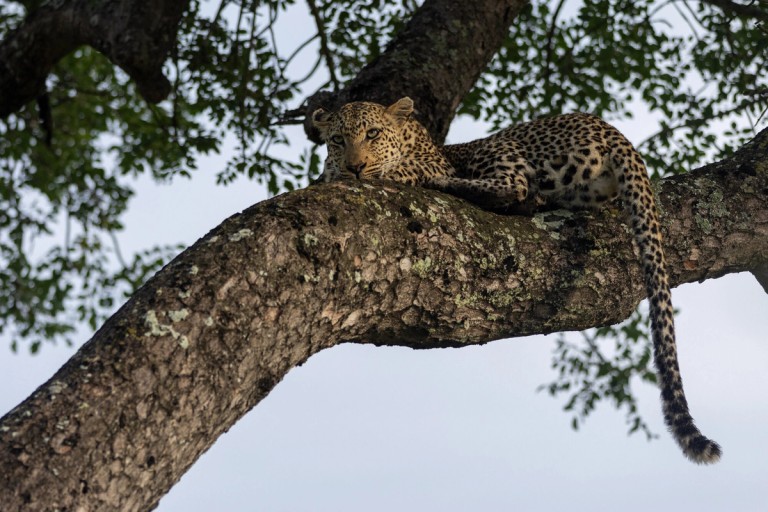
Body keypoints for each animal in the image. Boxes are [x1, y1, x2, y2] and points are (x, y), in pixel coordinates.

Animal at [312, 96, 721, 464]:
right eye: (338, 139)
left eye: (373, 133)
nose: (355, 167)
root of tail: (609, 129)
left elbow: (400, 171)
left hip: (505, 146)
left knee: (516, 184)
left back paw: (447, 183)